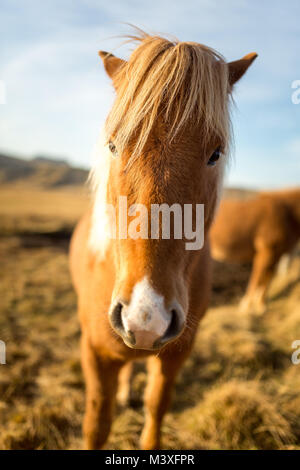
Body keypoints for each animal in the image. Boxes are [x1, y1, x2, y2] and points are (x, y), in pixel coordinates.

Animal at [69, 31, 256, 450]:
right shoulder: (94, 353)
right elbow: (96, 423)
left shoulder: (177, 351)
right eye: (113, 145)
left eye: (215, 153)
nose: (147, 317)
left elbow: (157, 405)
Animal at [210, 188, 300, 316]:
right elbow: (256, 279)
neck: (287, 213)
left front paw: (261, 306)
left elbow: (267, 280)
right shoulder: (265, 252)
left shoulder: (276, 255)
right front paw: (246, 306)